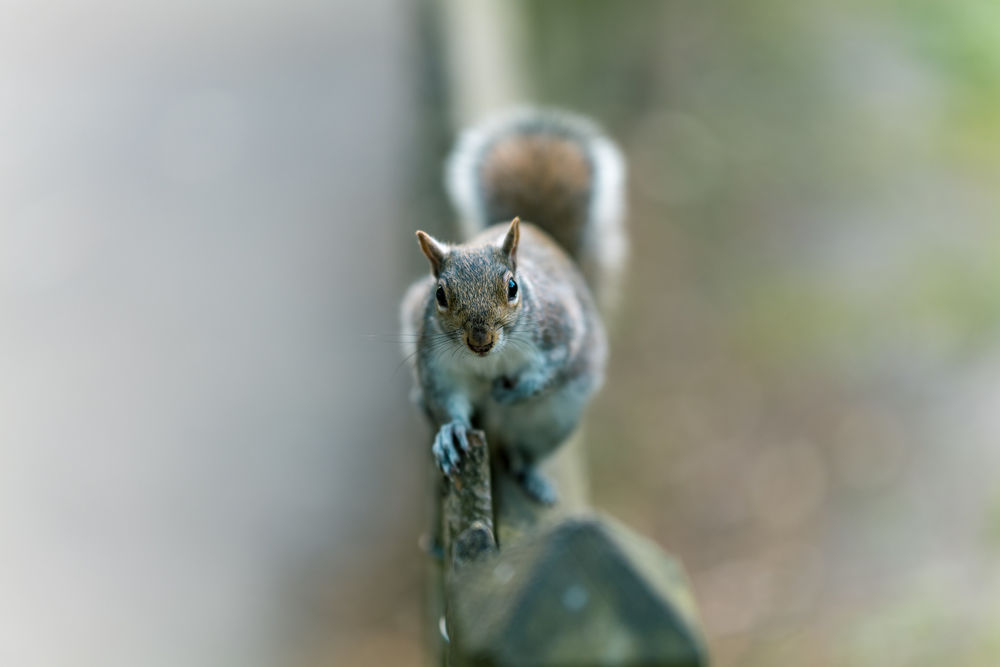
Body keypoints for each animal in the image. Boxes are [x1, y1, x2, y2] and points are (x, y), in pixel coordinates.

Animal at [400, 107, 626, 504]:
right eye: (440, 295)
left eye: (512, 287)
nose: (481, 341)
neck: (489, 361)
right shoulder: (436, 363)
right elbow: (448, 400)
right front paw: (451, 432)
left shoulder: (560, 325)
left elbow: (552, 364)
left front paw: (518, 389)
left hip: (553, 420)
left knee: (525, 453)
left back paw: (532, 476)